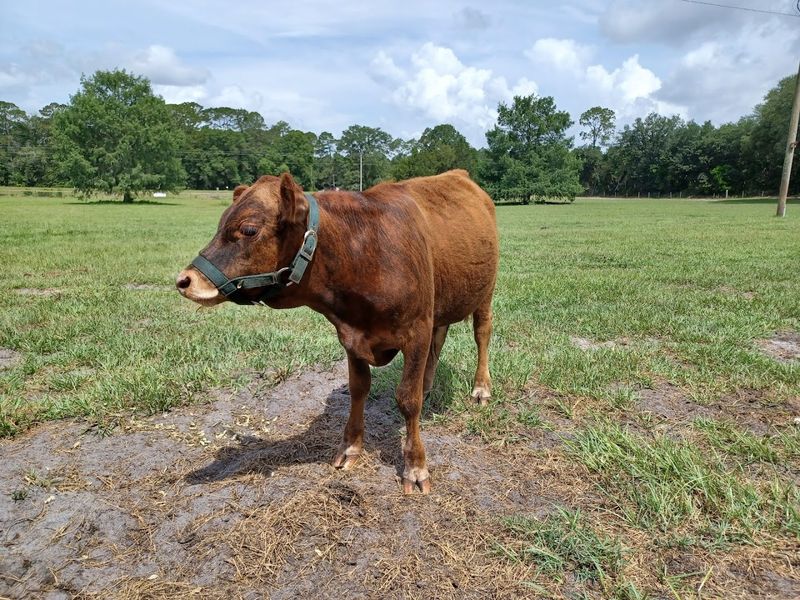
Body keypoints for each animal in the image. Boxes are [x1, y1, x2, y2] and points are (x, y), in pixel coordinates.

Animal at [176, 170, 499, 494]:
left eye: (249, 229)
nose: (184, 280)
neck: (361, 253)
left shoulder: (416, 330)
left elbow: (408, 399)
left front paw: (416, 467)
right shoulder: (351, 336)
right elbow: (358, 389)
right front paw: (350, 448)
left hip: (485, 292)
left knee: (481, 333)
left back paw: (481, 388)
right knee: (439, 337)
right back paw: (429, 383)